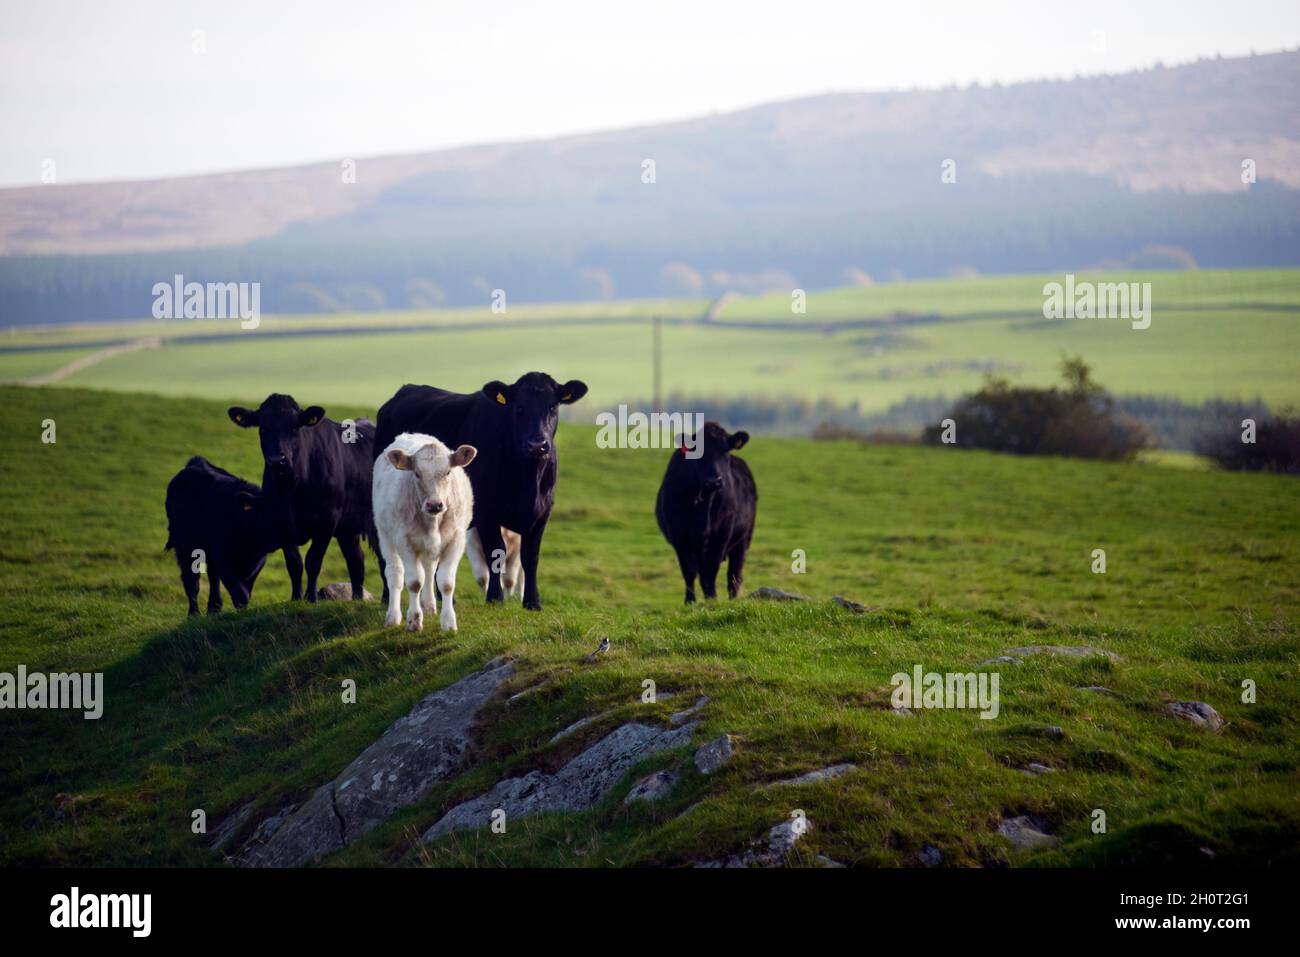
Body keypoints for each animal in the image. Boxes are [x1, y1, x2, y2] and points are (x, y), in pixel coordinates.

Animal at [163, 455, 280, 613]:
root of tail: (196, 462)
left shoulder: (256, 565)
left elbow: (245, 592)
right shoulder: (224, 560)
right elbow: (240, 594)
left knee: (212, 578)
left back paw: (213, 608)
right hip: (185, 548)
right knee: (191, 582)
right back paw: (194, 613)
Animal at [230, 392, 377, 600]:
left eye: (294, 428)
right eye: (263, 428)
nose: (278, 461)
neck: (294, 487)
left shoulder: (328, 518)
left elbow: (313, 560)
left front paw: (311, 597)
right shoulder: (280, 519)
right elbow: (295, 564)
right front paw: (296, 598)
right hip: (348, 528)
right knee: (356, 560)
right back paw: (357, 598)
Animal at [374, 369, 592, 608]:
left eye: (552, 406)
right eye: (519, 407)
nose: (537, 445)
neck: (527, 479)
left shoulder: (542, 512)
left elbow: (530, 557)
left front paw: (533, 602)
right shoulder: (486, 512)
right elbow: (496, 551)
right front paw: (495, 598)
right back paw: (387, 596)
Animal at [374, 431, 475, 629]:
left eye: (448, 472)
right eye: (417, 473)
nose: (434, 504)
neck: (432, 522)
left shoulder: (456, 540)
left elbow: (446, 582)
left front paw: (448, 622)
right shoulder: (404, 541)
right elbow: (414, 582)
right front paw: (414, 620)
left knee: (429, 570)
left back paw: (428, 605)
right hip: (385, 535)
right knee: (395, 574)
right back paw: (393, 616)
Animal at [655, 421, 759, 600]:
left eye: (725, 450)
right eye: (698, 453)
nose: (714, 480)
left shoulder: (721, 535)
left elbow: (710, 572)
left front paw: (712, 600)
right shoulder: (680, 536)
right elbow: (689, 572)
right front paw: (690, 601)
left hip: (744, 538)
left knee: (734, 574)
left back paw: (733, 600)